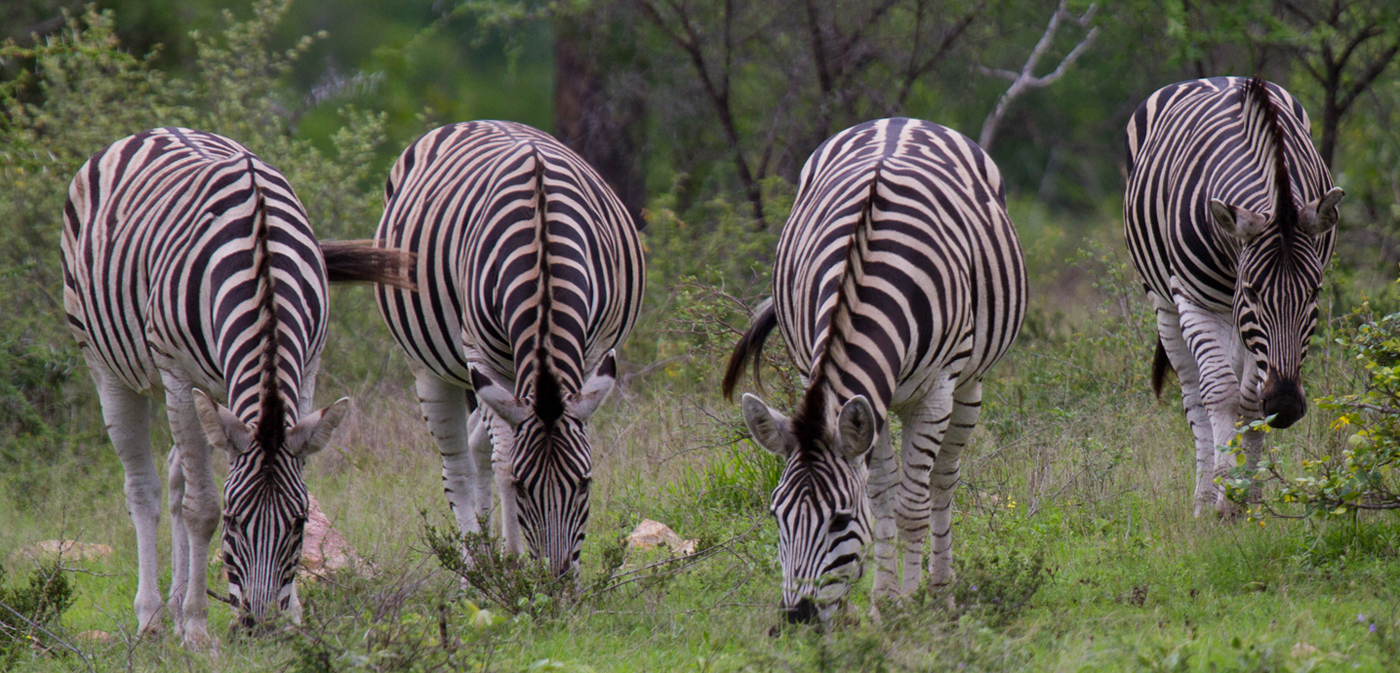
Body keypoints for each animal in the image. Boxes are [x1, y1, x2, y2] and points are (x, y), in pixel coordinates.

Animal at [63, 125, 411, 646]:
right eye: (233, 521)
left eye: (299, 523)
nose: (260, 628)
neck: (262, 271)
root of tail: (156, 129)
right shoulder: (178, 376)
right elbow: (200, 507)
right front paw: (196, 630)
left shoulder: (307, 370)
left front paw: (293, 616)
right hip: (108, 365)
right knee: (143, 489)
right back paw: (153, 618)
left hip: (213, 395)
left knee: (176, 476)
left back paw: (173, 602)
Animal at [372, 119, 644, 570]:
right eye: (521, 487)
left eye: (585, 483)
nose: (558, 581)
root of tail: (470, 121)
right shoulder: (482, 356)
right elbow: (503, 461)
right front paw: (514, 563)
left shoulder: (592, 355)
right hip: (431, 366)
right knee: (458, 466)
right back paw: (476, 569)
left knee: (477, 444)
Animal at [728, 116, 1024, 624]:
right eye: (775, 515)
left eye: (840, 520)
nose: (797, 618)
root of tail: (900, 120)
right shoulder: (863, 401)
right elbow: (882, 495)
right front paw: (882, 602)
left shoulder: (937, 391)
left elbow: (911, 506)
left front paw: (908, 604)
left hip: (968, 385)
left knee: (942, 482)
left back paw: (942, 592)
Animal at [1120, 77, 1338, 514]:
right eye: (1252, 290)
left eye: (1315, 291)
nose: (1286, 406)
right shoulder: (1197, 301)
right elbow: (1219, 394)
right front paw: (1219, 496)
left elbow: (1250, 401)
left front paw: (1244, 498)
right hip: (1166, 304)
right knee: (1195, 394)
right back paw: (1203, 497)